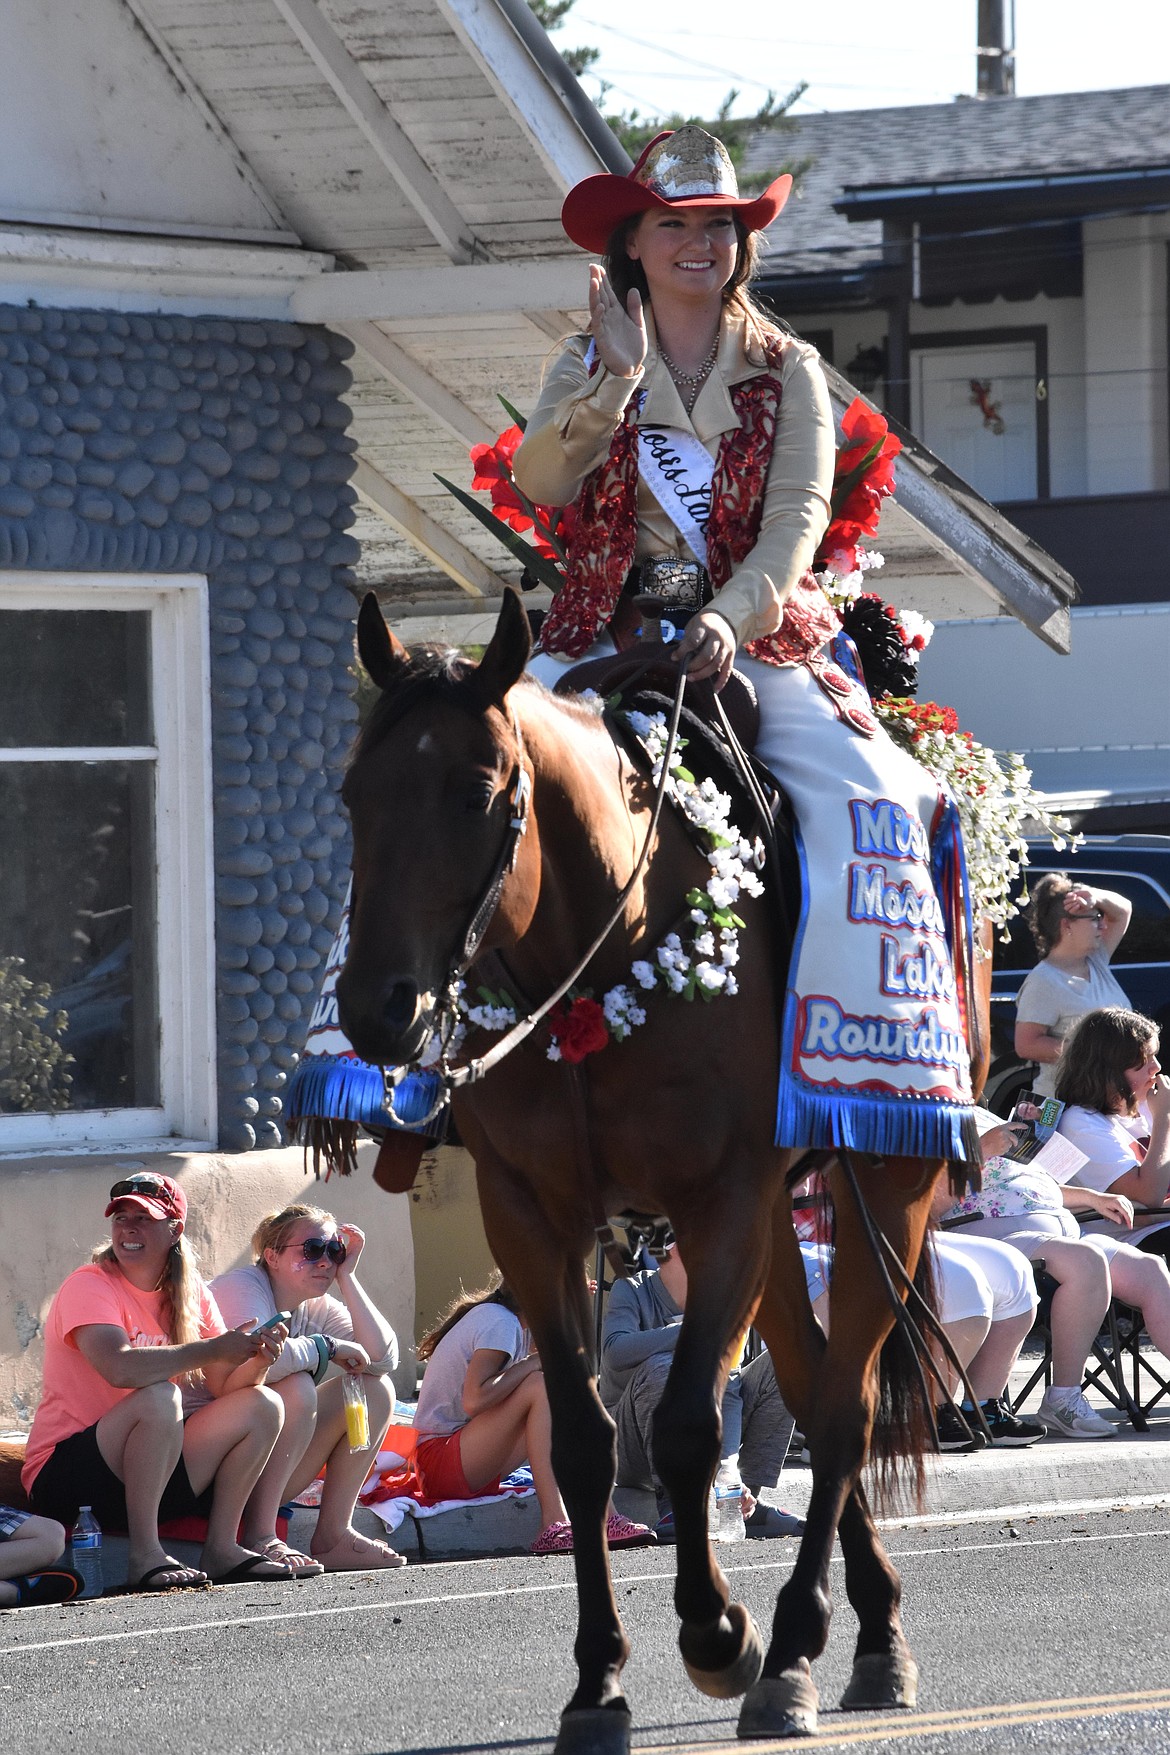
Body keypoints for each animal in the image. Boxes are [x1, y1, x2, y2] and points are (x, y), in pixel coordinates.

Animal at [336, 593, 982, 1755]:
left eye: (477, 791)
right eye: (353, 793)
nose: (377, 1008)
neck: (605, 949)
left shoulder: (721, 1201)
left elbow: (686, 1428)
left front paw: (721, 1636)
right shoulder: (531, 1219)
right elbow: (585, 1445)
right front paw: (598, 1684)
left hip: (888, 1188)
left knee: (844, 1409)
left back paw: (809, 1646)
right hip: (782, 1228)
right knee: (814, 1386)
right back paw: (866, 1629)